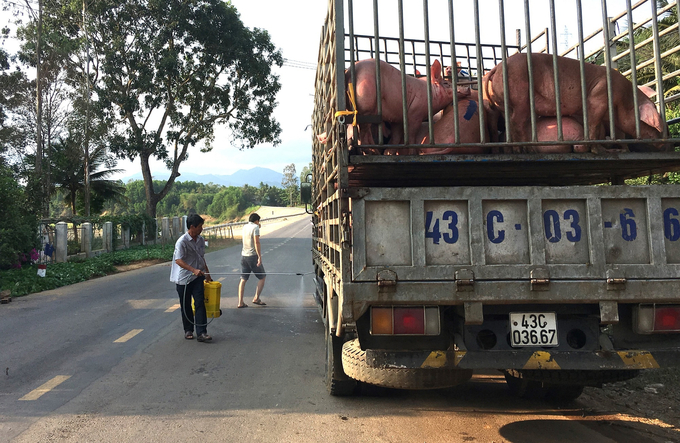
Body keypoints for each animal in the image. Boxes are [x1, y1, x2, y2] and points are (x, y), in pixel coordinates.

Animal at [484, 52, 664, 150]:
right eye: (652, 124)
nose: (666, 143)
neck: (625, 99)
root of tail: (497, 68)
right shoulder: (599, 97)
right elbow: (593, 123)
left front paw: (622, 148)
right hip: (520, 95)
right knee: (517, 121)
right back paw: (526, 148)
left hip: (503, 104)